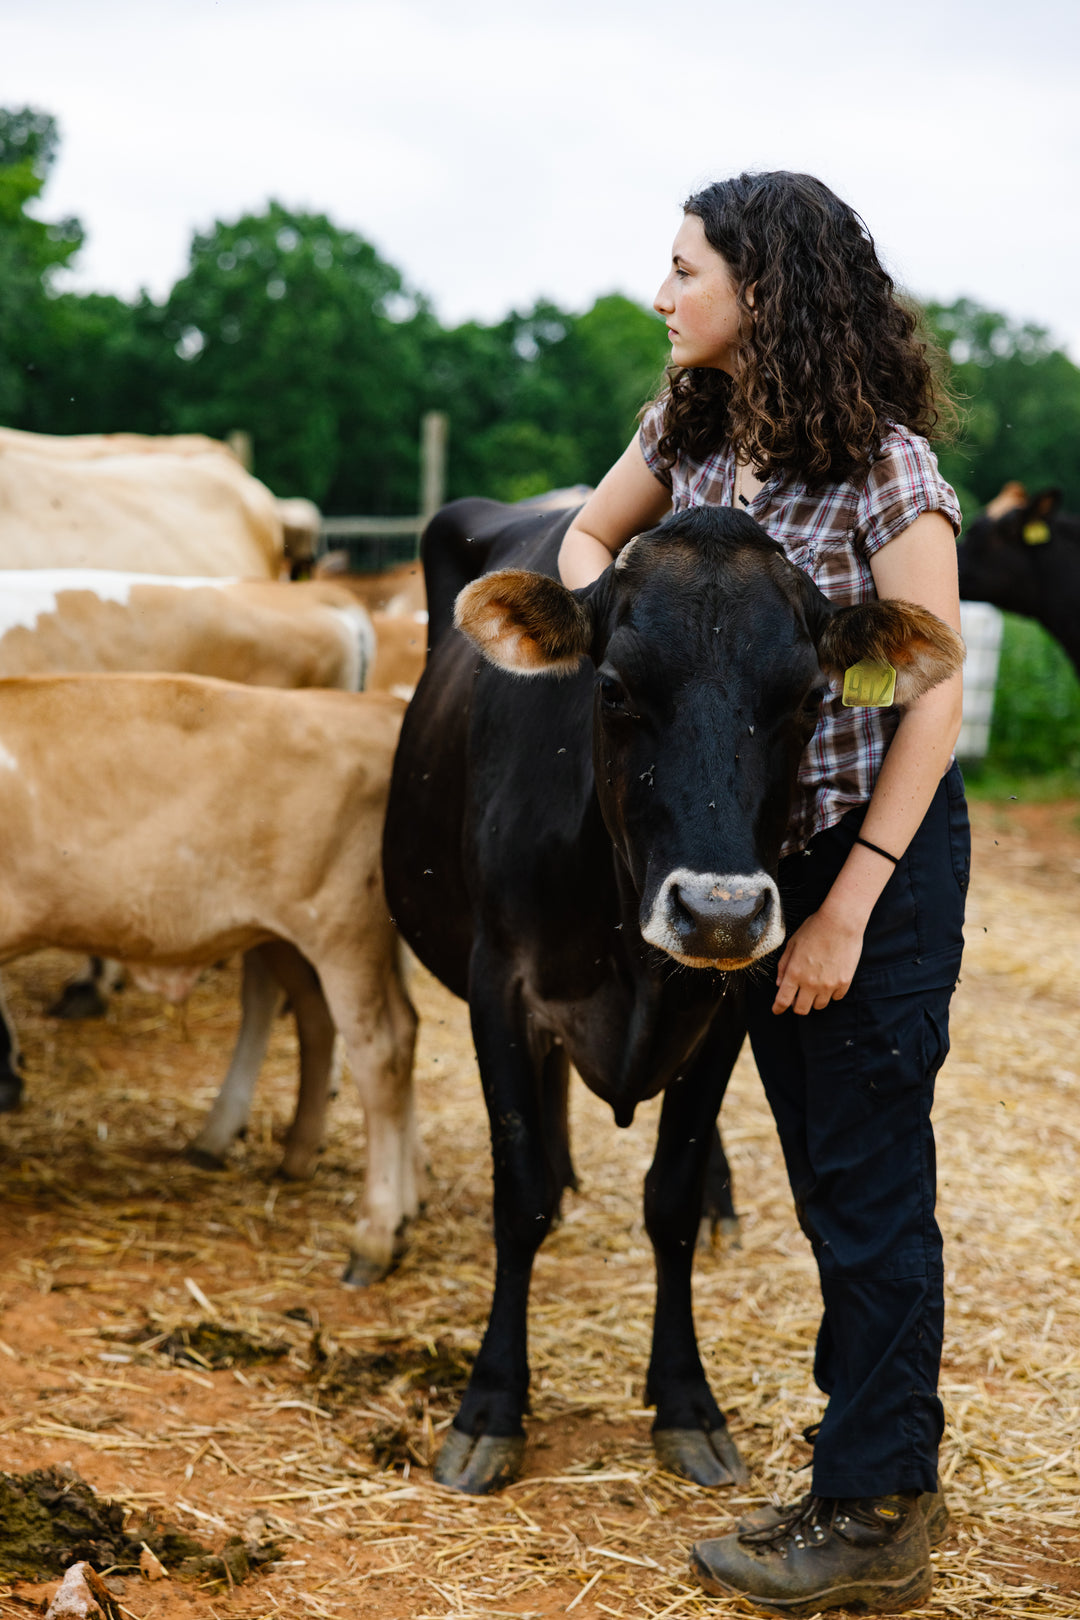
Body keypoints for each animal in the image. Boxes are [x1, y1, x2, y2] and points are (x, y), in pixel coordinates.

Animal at [0, 670, 420, 1276]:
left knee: (381, 1056)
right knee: (347, 1027)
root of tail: (381, 710)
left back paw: (376, 1233)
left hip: (345, 932)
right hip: (296, 937)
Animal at [386, 498, 965, 1496]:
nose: (720, 912)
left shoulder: (724, 1011)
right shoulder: (500, 988)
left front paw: (687, 1403)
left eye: (807, 700)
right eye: (615, 689)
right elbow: (519, 1195)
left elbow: (671, 1202)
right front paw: (491, 1407)